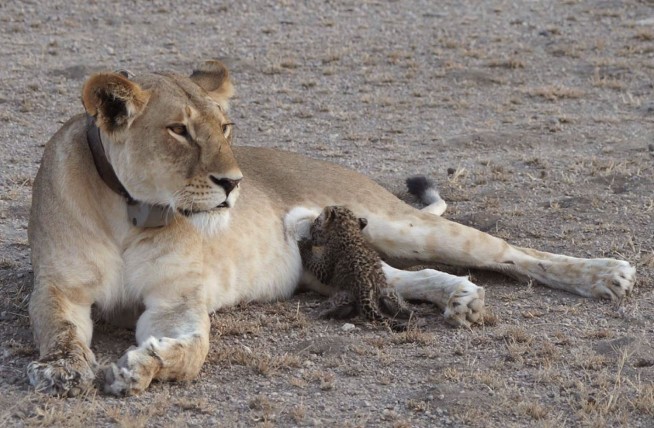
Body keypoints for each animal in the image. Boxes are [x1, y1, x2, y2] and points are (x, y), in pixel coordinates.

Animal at [26, 59, 636, 397]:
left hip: (397, 223)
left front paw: (141, 368)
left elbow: (192, 349)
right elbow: (59, 330)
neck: (133, 211)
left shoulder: (177, 300)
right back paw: (461, 297)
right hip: (328, 262)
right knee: (394, 277)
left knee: (508, 251)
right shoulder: (57, 287)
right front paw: (61, 372)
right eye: (179, 130)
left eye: (226, 127)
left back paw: (607, 274)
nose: (233, 183)